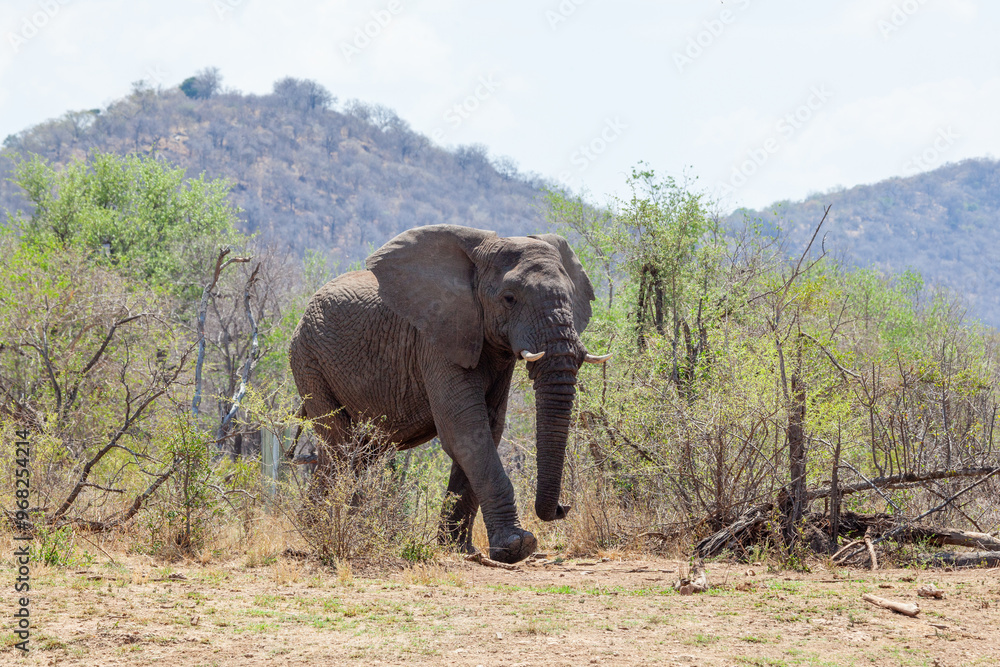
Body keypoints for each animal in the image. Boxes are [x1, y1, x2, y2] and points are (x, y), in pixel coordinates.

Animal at [288, 224, 609, 564]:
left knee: (361, 452)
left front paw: (459, 549)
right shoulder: (436, 340)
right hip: (309, 360)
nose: (564, 507)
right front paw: (516, 546)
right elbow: (465, 431)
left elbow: (488, 429)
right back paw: (321, 530)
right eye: (509, 298)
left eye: (570, 297)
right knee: (340, 446)